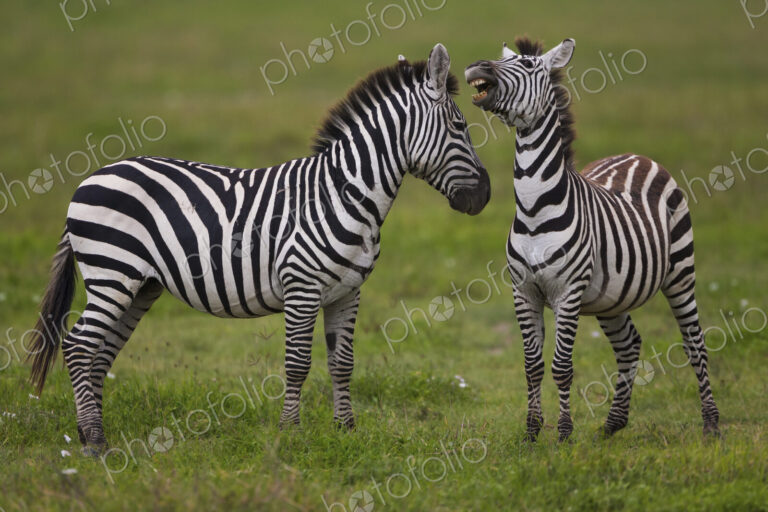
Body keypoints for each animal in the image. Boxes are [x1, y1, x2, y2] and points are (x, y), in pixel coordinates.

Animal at [28, 43, 490, 455]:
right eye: (459, 126)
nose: (484, 197)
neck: (344, 194)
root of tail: (90, 177)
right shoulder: (302, 286)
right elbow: (298, 363)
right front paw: (291, 433)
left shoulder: (348, 292)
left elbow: (342, 363)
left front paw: (346, 431)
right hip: (113, 273)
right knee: (79, 345)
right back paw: (95, 442)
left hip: (140, 285)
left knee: (100, 353)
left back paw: (90, 433)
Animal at [465, 37, 719, 441]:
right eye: (506, 58)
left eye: (530, 64)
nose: (477, 65)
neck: (534, 209)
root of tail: (637, 155)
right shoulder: (523, 291)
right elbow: (532, 366)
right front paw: (532, 434)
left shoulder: (568, 294)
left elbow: (561, 367)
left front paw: (564, 435)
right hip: (611, 298)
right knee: (629, 345)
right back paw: (613, 424)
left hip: (681, 272)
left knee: (695, 344)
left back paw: (711, 424)